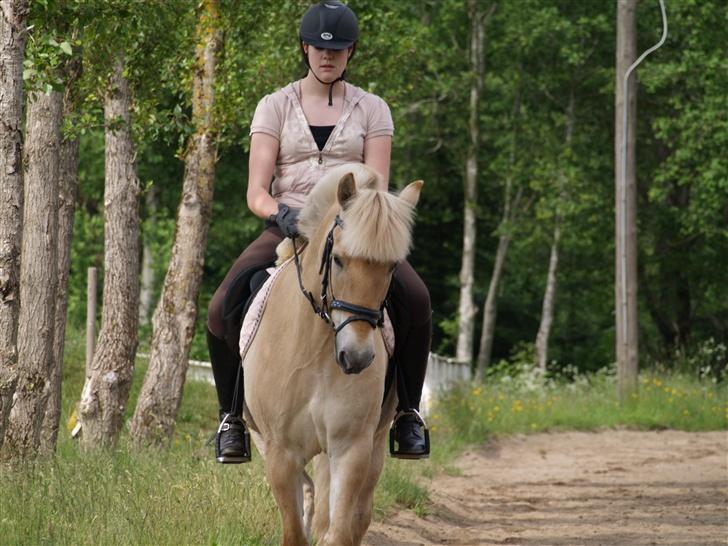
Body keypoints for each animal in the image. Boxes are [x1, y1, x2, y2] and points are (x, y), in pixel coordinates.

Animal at [245, 165, 424, 544]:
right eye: (338, 260)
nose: (355, 358)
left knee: (357, 513)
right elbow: (295, 531)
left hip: (371, 444)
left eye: (392, 267)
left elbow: (340, 531)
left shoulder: (350, 448)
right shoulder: (281, 453)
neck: (314, 351)